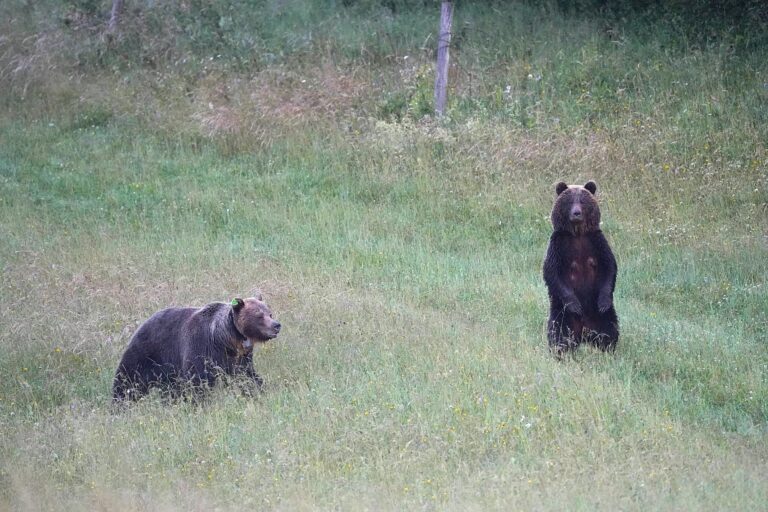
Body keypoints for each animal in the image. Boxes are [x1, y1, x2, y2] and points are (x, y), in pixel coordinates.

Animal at [112, 295, 281, 401]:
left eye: (270, 313)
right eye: (259, 315)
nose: (276, 325)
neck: (225, 338)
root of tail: (144, 321)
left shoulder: (240, 357)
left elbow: (247, 376)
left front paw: (257, 391)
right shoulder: (201, 346)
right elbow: (198, 380)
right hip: (147, 352)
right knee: (128, 379)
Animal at [543, 180, 619, 355]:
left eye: (583, 201)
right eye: (570, 201)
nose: (576, 213)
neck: (577, 234)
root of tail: (584, 333)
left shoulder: (597, 242)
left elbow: (609, 267)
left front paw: (603, 302)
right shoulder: (559, 245)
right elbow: (552, 272)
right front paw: (576, 305)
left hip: (600, 317)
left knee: (609, 329)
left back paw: (607, 348)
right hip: (562, 314)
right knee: (560, 333)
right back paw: (561, 351)